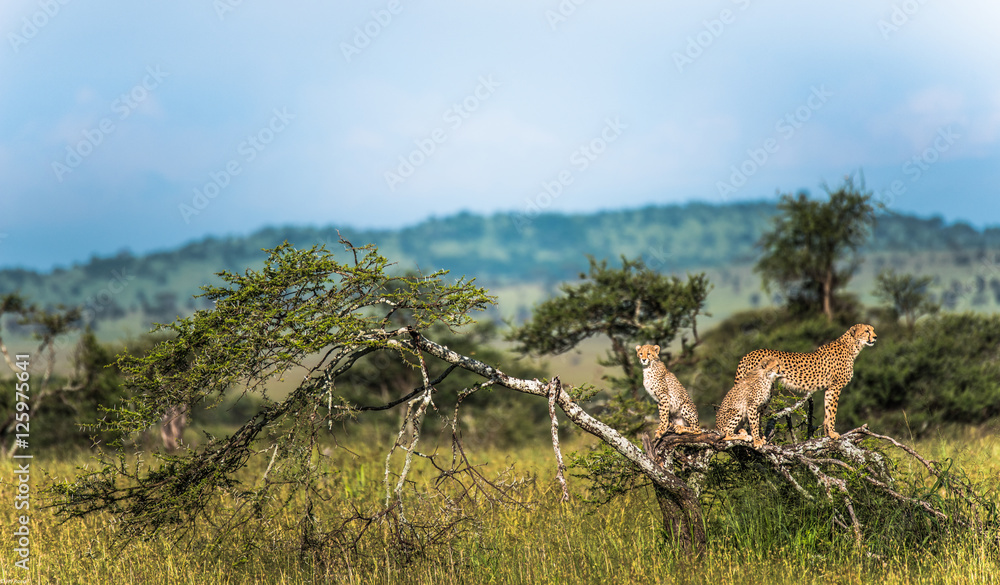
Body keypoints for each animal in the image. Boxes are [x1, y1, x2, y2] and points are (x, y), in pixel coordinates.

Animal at [732, 324, 880, 438]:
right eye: (867, 331)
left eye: (873, 329)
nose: (875, 337)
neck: (852, 346)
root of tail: (748, 354)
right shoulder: (835, 386)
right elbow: (833, 412)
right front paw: (833, 434)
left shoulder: (829, 388)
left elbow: (827, 411)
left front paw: (827, 434)